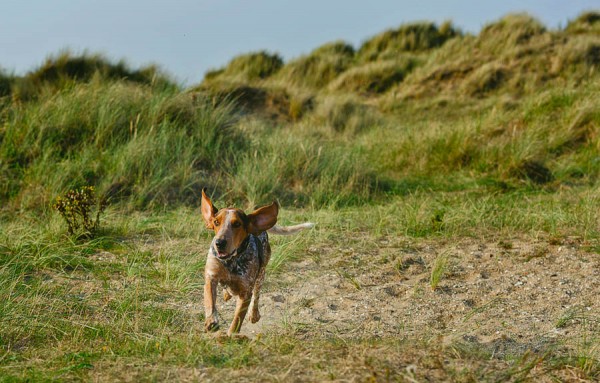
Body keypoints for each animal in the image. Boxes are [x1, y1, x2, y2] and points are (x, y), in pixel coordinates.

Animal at [202, 191, 314, 336]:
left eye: (237, 224)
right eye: (216, 222)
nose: (219, 243)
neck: (231, 261)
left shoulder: (245, 292)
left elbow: (238, 318)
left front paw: (231, 334)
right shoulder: (211, 277)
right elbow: (210, 300)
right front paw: (211, 320)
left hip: (261, 274)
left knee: (256, 295)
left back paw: (253, 314)